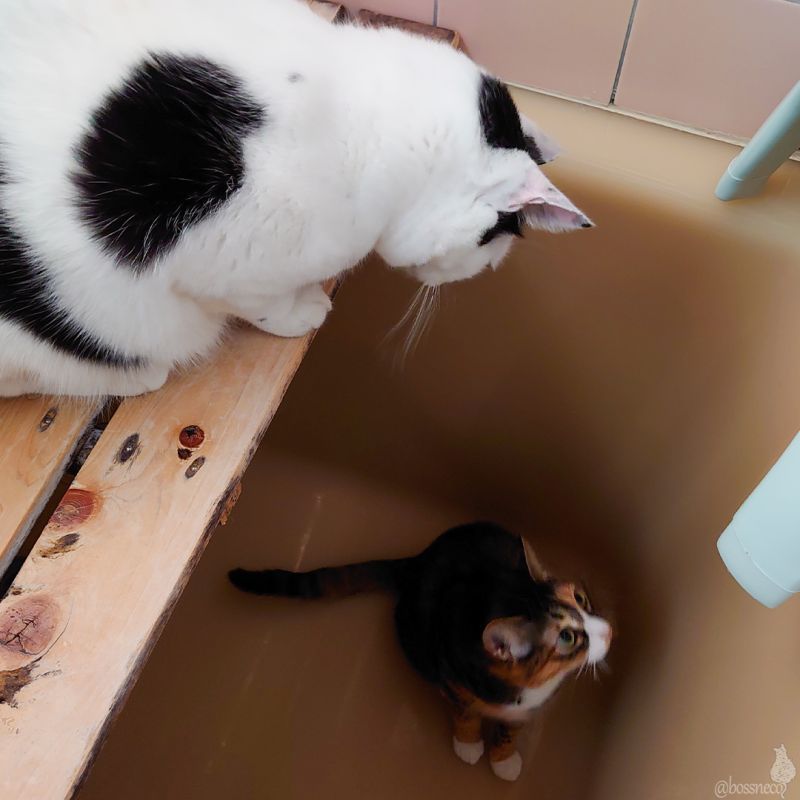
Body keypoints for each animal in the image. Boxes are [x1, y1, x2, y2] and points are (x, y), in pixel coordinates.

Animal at [229, 521, 612, 781]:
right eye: (567, 637)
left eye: (581, 598)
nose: (608, 631)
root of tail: (416, 562)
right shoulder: (452, 678)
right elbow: (467, 714)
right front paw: (470, 744)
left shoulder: (525, 709)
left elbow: (511, 728)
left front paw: (503, 758)